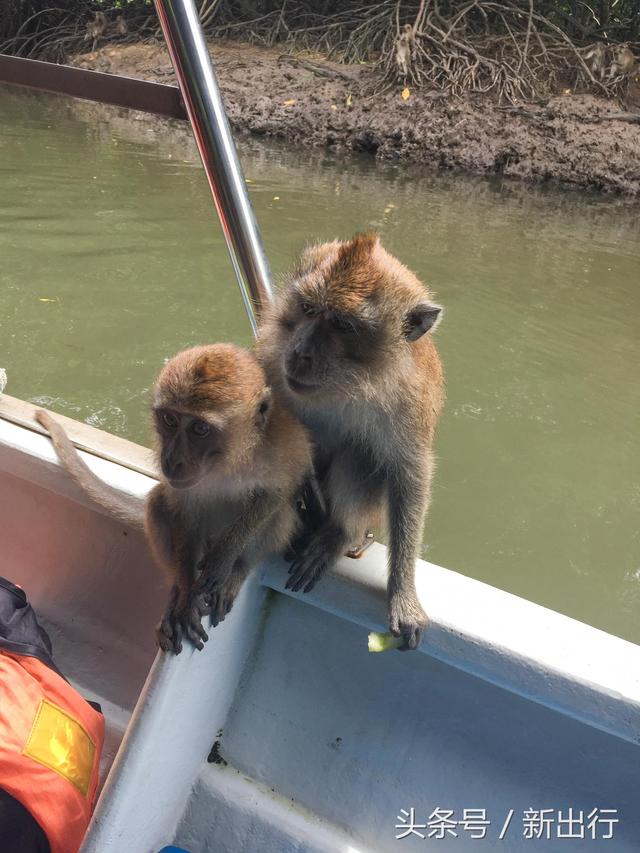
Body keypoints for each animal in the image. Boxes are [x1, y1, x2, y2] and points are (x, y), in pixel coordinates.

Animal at [36, 344, 312, 652]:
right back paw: (176, 594)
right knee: (158, 504)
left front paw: (225, 559)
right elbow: (184, 513)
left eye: (199, 429)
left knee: (281, 514)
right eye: (170, 420)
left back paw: (237, 571)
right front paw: (187, 598)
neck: (227, 460)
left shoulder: (281, 442)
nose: (172, 459)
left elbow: (278, 491)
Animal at [258, 233, 442, 644]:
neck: (348, 383)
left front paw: (403, 594)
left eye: (342, 324)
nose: (301, 352)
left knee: (360, 454)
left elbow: (409, 476)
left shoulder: (408, 401)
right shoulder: (271, 354)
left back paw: (340, 534)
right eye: (308, 308)